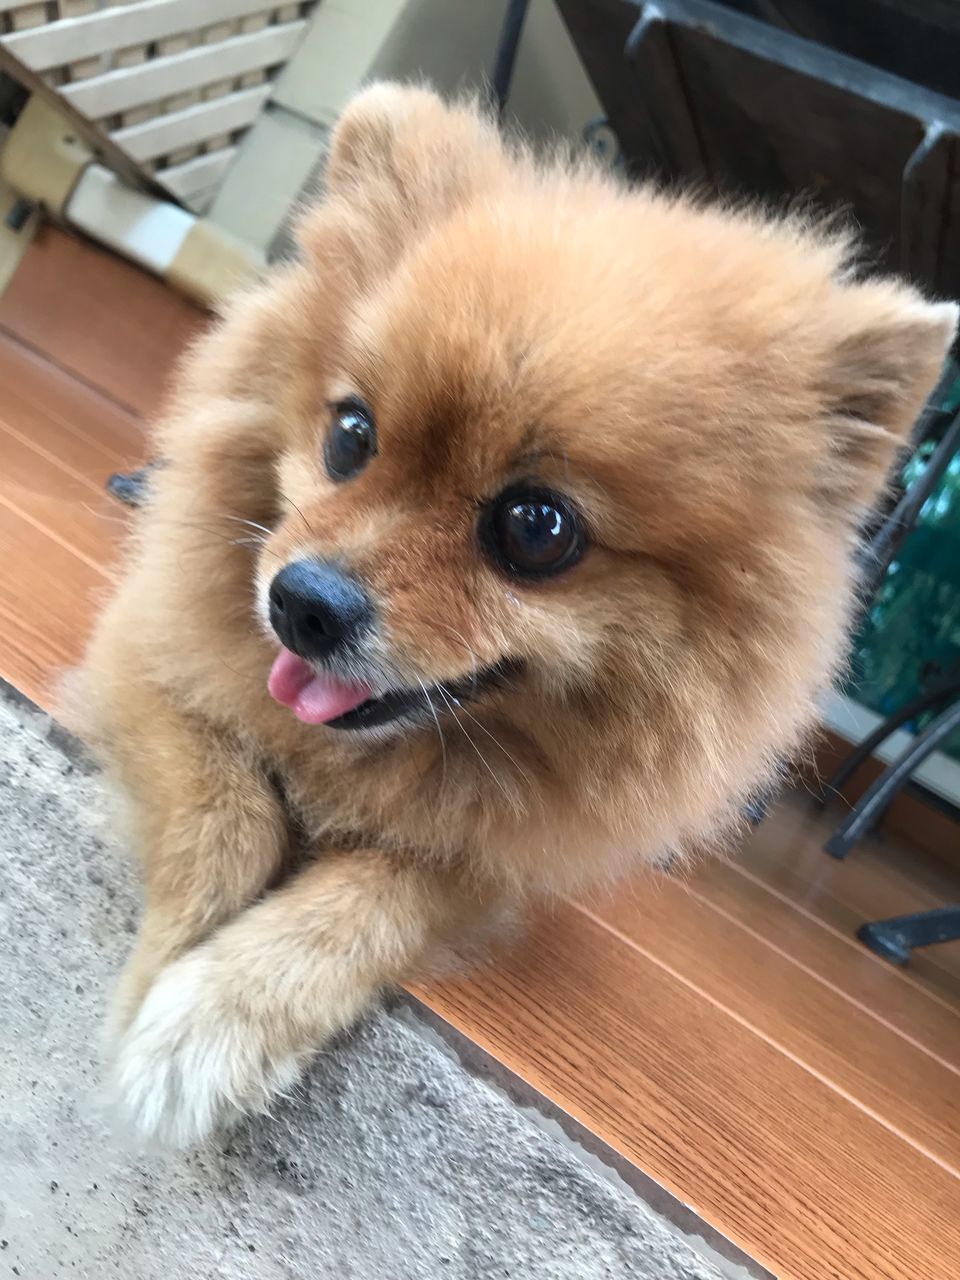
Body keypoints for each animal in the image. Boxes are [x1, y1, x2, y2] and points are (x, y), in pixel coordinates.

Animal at [84, 82, 957, 1141]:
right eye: (351, 435)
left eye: (537, 528)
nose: (302, 604)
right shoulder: (144, 665)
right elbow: (225, 816)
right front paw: (156, 974)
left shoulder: (494, 866)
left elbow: (379, 896)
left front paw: (216, 1015)